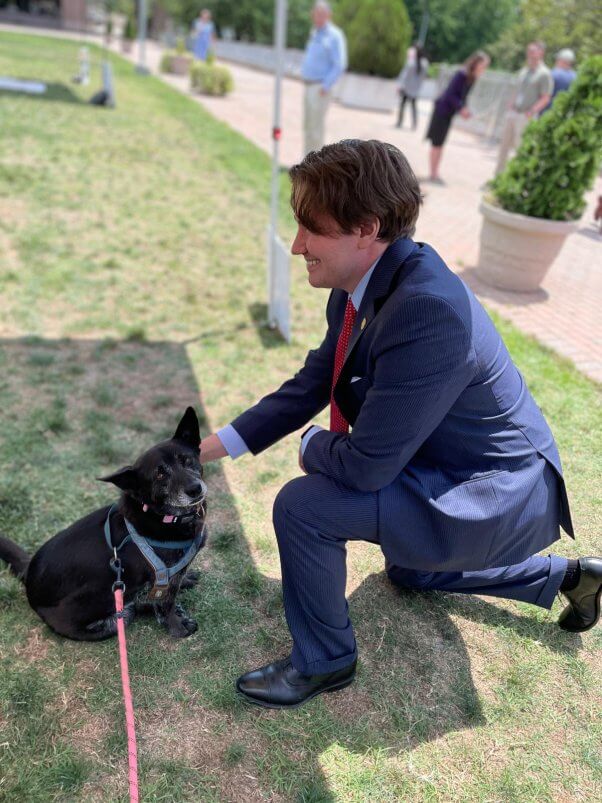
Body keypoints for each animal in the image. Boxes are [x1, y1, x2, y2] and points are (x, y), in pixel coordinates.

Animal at [0, 408, 206, 640]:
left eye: (187, 460)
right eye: (160, 474)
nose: (195, 489)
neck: (161, 515)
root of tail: (28, 576)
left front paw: (185, 580)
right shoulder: (161, 580)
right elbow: (165, 603)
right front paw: (177, 626)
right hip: (106, 610)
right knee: (130, 609)